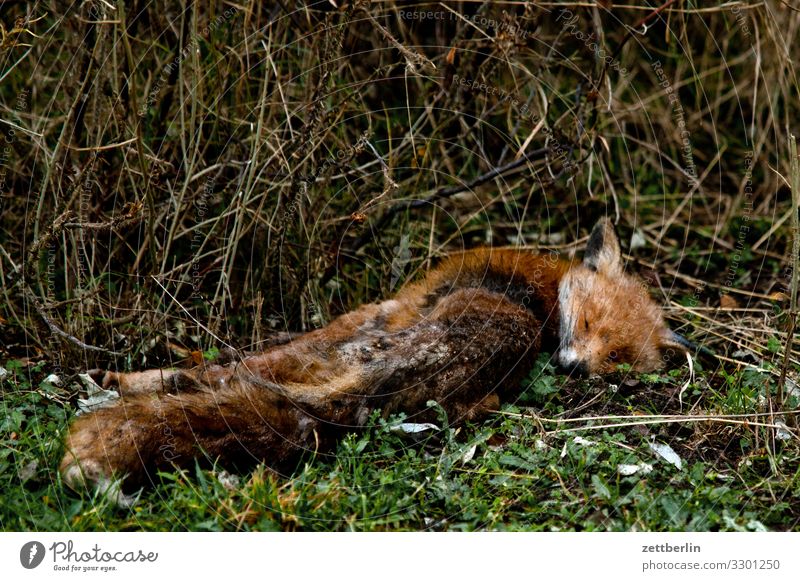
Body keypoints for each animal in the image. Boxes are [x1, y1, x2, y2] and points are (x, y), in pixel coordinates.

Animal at [61, 219, 688, 502]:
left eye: (616, 359)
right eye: (590, 327)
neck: (544, 292)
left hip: (349, 352)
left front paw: (138, 373)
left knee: (234, 377)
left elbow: (236, 360)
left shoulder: (374, 314)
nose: (575, 369)